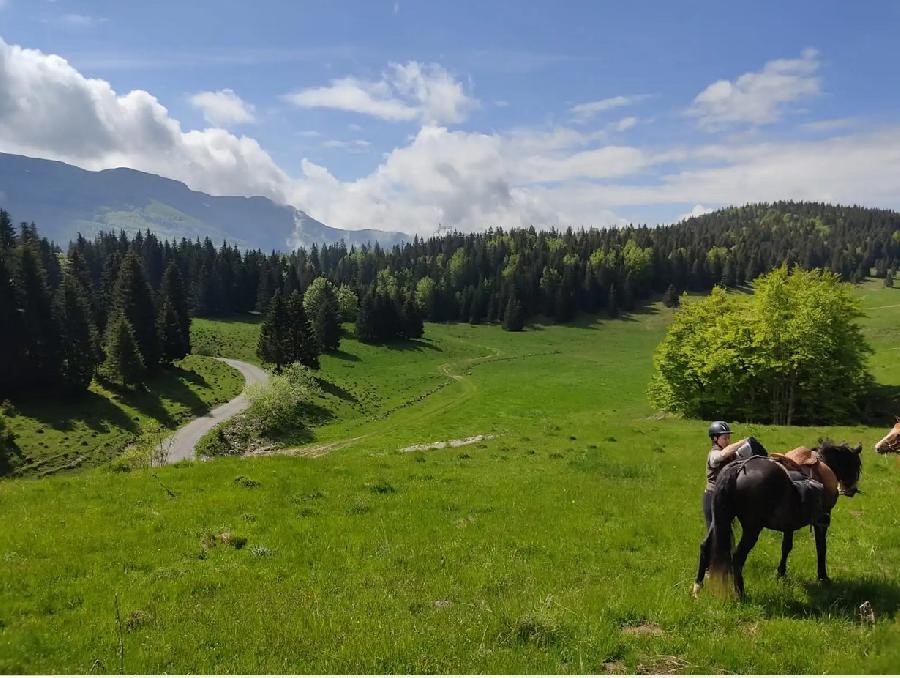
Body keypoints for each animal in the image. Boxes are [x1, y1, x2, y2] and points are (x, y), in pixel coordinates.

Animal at [692, 444, 860, 596]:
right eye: (857, 465)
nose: (852, 490)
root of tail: (738, 469)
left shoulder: (789, 525)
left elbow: (786, 547)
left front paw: (781, 574)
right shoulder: (821, 521)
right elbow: (821, 548)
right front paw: (823, 577)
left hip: (719, 521)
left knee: (705, 546)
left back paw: (697, 587)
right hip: (752, 529)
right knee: (738, 557)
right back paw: (741, 594)